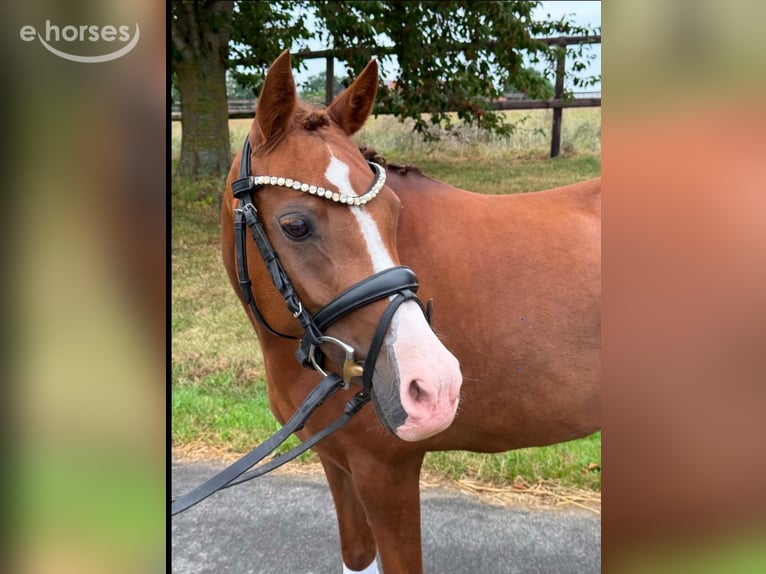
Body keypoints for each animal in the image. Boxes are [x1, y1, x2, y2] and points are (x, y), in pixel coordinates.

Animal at [220, 50, 600, 574]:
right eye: (295, 225)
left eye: (394, 213)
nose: (434, 386)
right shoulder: (336, 461)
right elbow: (356, 556)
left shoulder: (387, 473)